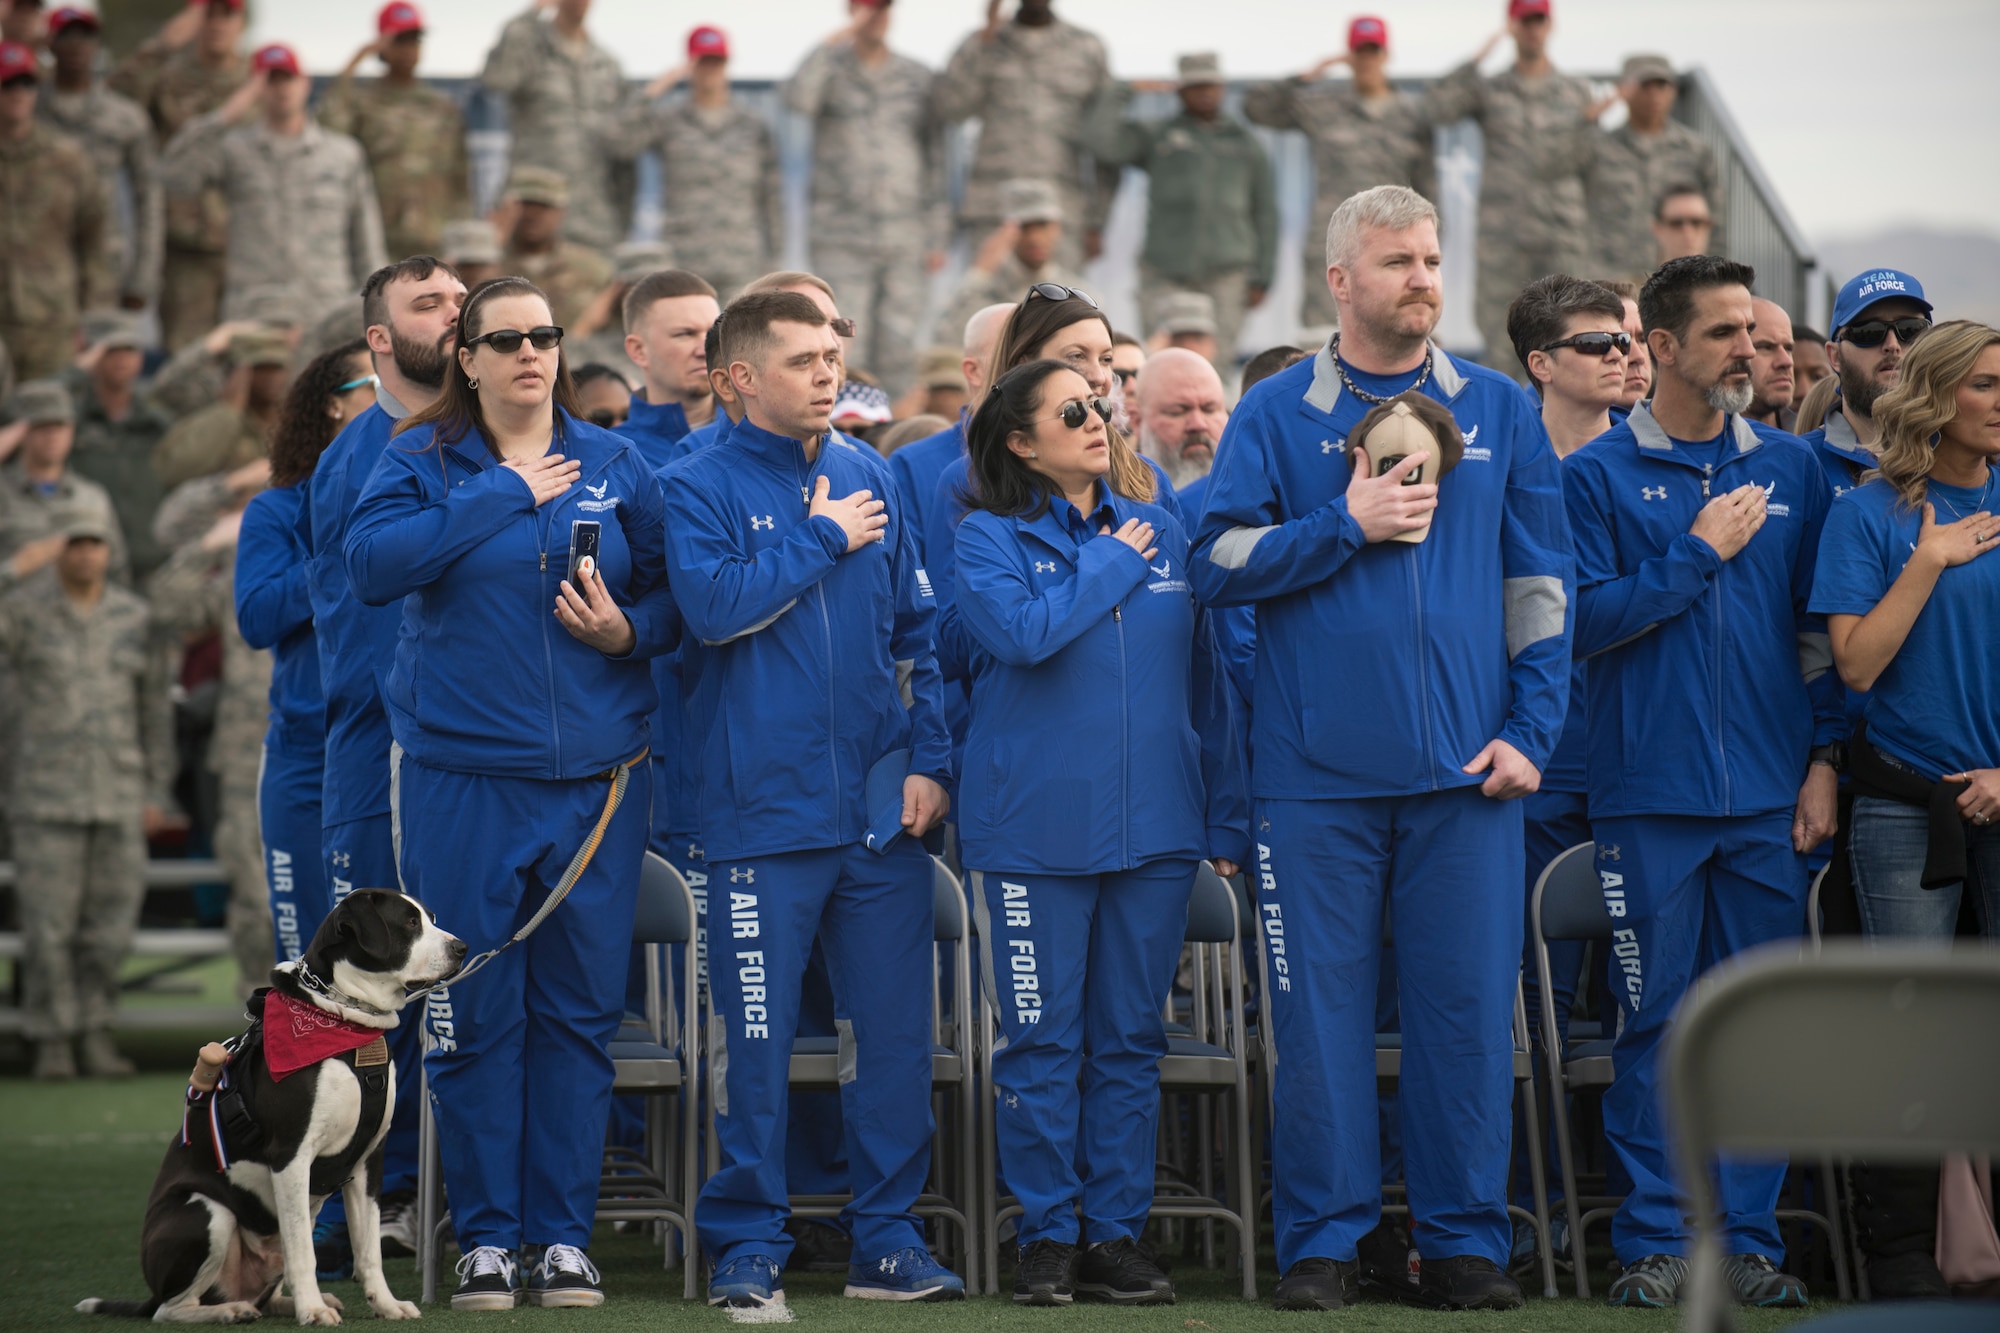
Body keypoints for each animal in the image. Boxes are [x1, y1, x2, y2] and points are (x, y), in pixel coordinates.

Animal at [78, 880, 464, 1320]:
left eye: (430, 918)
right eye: (410, 923)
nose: (462, 947)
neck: (345, 1024)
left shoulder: (369, 1161)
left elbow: (368, 1251)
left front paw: (385, 1304)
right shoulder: (291, 1155)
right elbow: (304, 1254)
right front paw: (312, 1312)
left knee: (265, 1285)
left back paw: (284, 1302)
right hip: (206, 1212)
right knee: (171, 1308)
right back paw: (231, 1311)